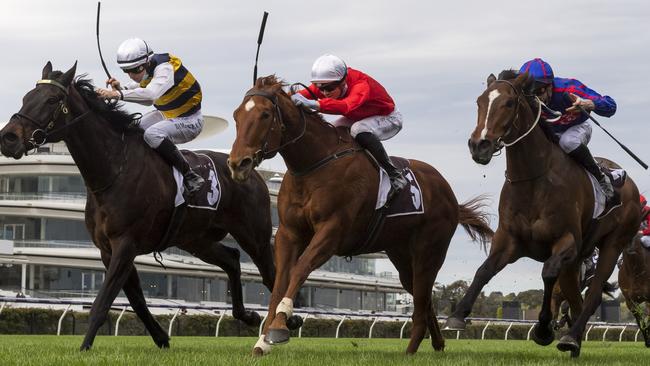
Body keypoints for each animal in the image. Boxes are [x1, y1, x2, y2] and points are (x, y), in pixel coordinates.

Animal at [0, 63, 278, 352]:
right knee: (232, 259)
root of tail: (251, 171)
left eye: (52, 100)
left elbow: (102, 303)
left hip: (253, 235)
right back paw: (247, 315)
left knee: (272, 274)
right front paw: (162, 338)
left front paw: (84, 347)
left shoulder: (126, 243)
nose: (8, 138)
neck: (114, 169)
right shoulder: (108, 250)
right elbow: (137, 301)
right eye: (26, 97)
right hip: (196, 240)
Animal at [227, 75, 492, 354]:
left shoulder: (332, 231)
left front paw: (278, 328)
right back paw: (438, 344)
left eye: (265, 114)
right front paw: (262, 341)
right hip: (401, 254)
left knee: (421, 299)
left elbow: (300, 269)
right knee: (423, 297)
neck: (313, 166)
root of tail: (449, 193)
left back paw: (411, 350)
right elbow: (279, 281)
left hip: (429, 250)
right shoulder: (288, 233)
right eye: (236, 115)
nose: (238, 163)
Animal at [446, 71, 636, 358]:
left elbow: (548, 274)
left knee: (591, 296)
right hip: (576, 261)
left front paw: (543, 329)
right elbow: (483, 270)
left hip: (613, 245)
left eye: (509, 103)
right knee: (575, 298)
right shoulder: (509, 240)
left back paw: (570, 337)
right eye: (479, 101)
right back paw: (573, 341)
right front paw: (457, 315)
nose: (479, 145)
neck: (533, 179)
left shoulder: (567, 241)